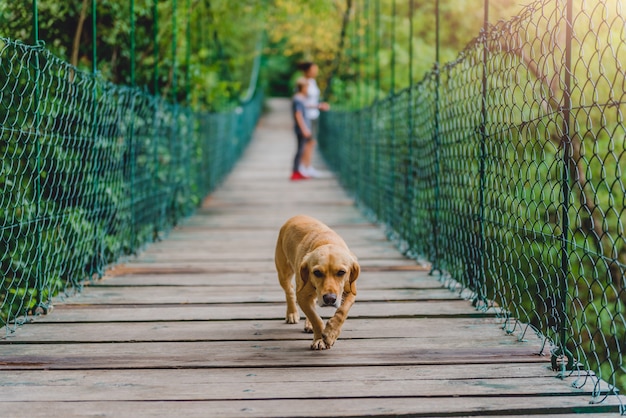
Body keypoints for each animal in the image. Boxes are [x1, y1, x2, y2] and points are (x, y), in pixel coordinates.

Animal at [274, 216, 358, 350]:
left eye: (341, 272)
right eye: (317, 272)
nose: (330, 299)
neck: (326, 241)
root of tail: (296, 216)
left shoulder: (350, 291)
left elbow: (342, 312)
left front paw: (331, 333)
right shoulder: (302, 296)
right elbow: (316, 319)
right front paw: (320, 339)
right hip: (283, 274)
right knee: (289, 292)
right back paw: (292, 313)